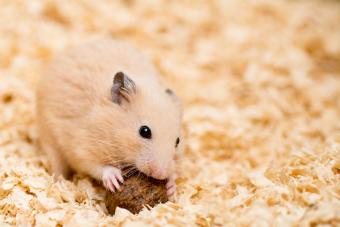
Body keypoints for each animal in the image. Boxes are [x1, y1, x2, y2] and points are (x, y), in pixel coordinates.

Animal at [35, 38, 182, 196]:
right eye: (144, 131)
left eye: (177, 141)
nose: (160, 174)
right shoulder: (81, 148)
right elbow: (94, 166)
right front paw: (114, 179)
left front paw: (171, 185)